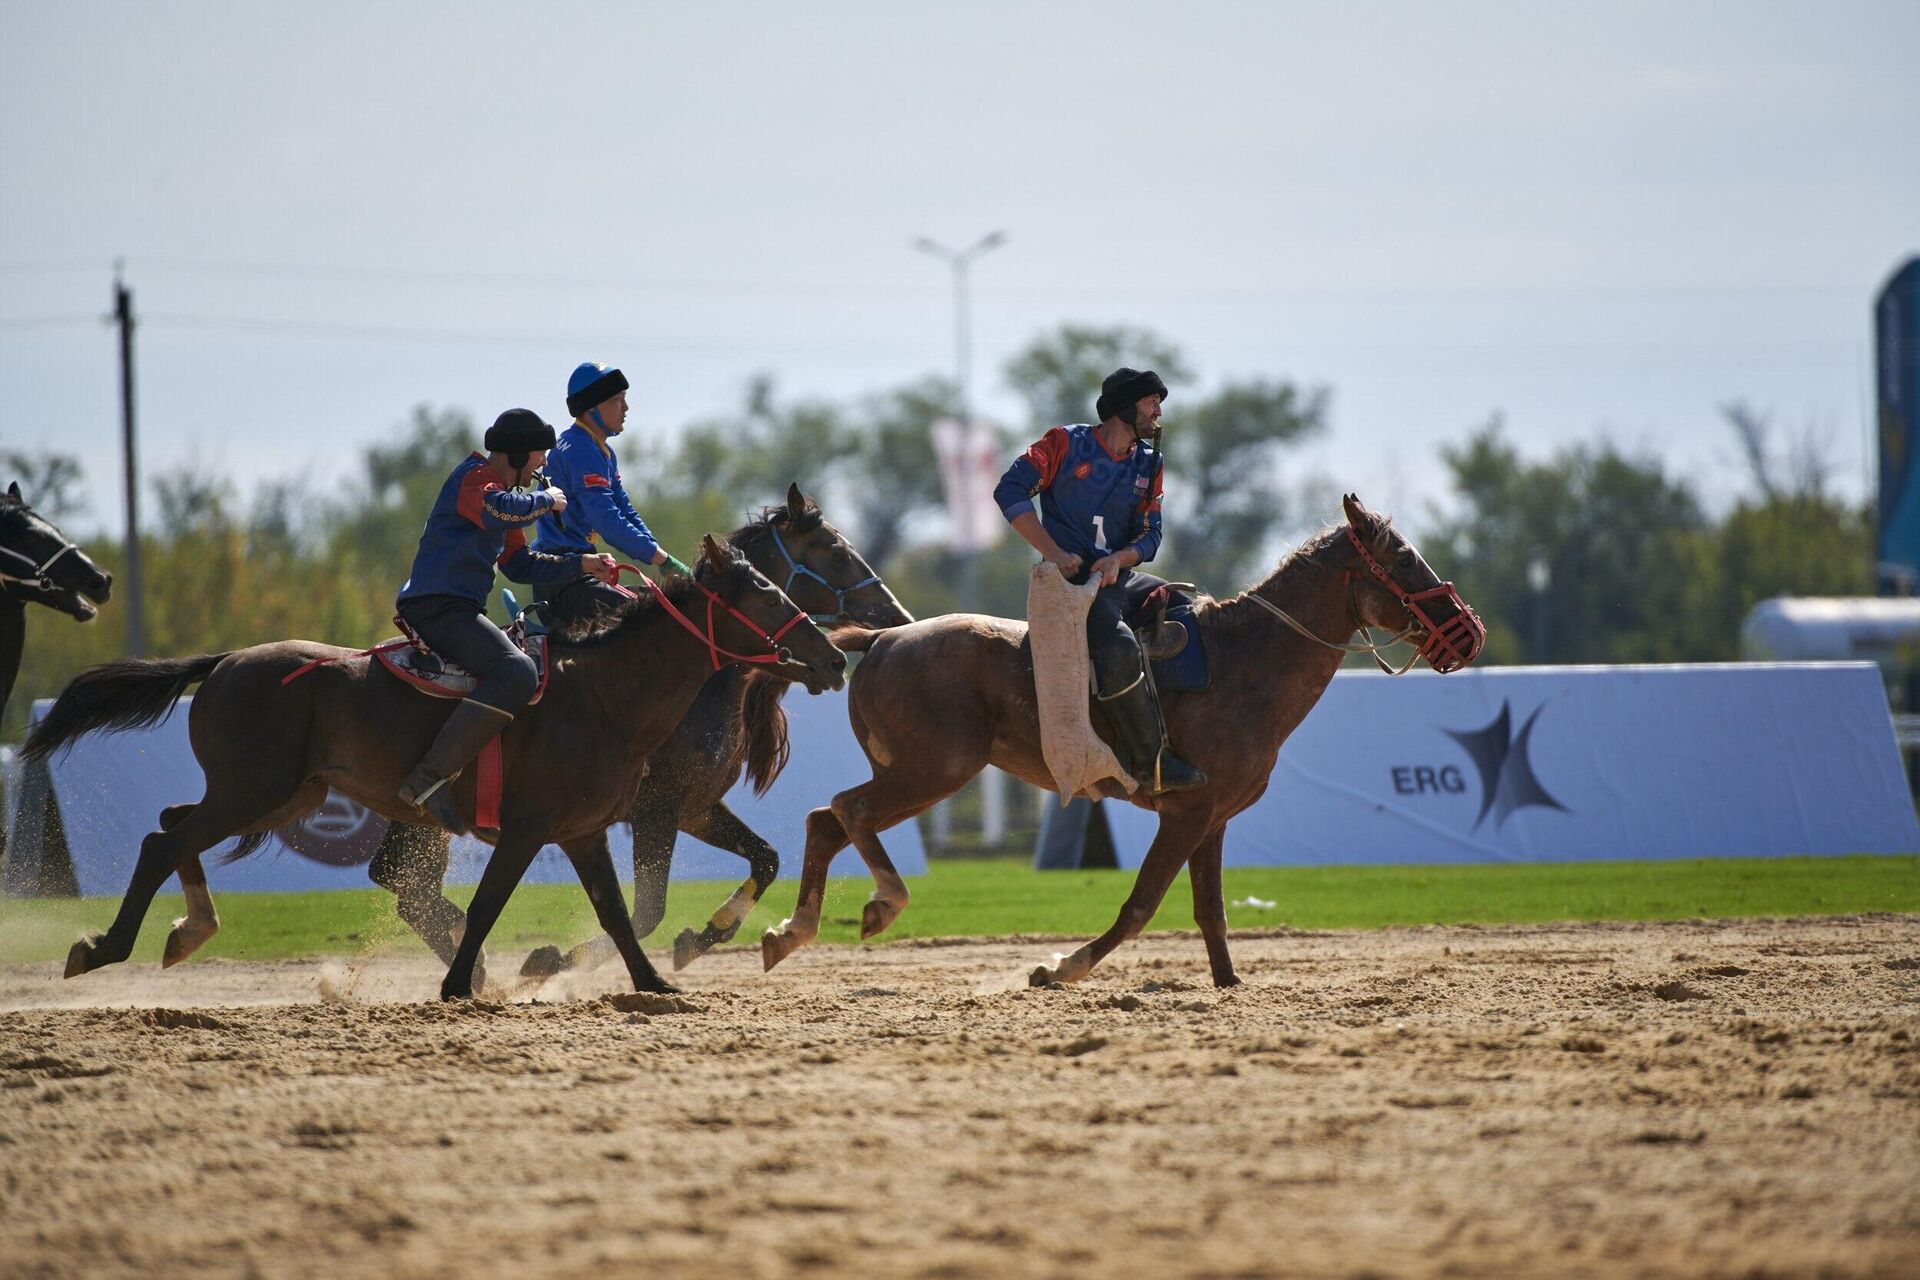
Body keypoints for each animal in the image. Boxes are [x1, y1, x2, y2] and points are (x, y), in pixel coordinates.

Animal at [20, 533, 848, 997]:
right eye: (769, 596)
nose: (835, 656)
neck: (602, 694)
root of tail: (225, 661)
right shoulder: (536, 829)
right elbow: (489, 907)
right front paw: (459, 984)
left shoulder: (586, 831)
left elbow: (619, 911)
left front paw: (648, 982)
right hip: (255, 791)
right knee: (166, 838)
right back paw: (108, 947)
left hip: (281, 796)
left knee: (175, 829)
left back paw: (183, 930)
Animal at [370, 485, 917, 974]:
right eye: (837, 552)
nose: (897, 616)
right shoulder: (657, 808)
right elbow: (648, 911)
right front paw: (552, 960)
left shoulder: (693, 807)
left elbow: (766, 859)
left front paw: (706, 934)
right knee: (401, 882)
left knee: (400, 883)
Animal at [760, 495, 1482, 990]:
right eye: (1403, 560)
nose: (1469, 631)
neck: (1243, 661)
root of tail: (883, 638)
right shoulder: (1185, 811)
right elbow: (1141, 904)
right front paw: (1062, 966)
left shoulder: (1212, 819)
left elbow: (1211, 909)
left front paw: (1229, 982)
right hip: (933, 772)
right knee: (847, 810)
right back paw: (881, 903)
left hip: (917, 774)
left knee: (826, 820)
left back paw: (790, 933)